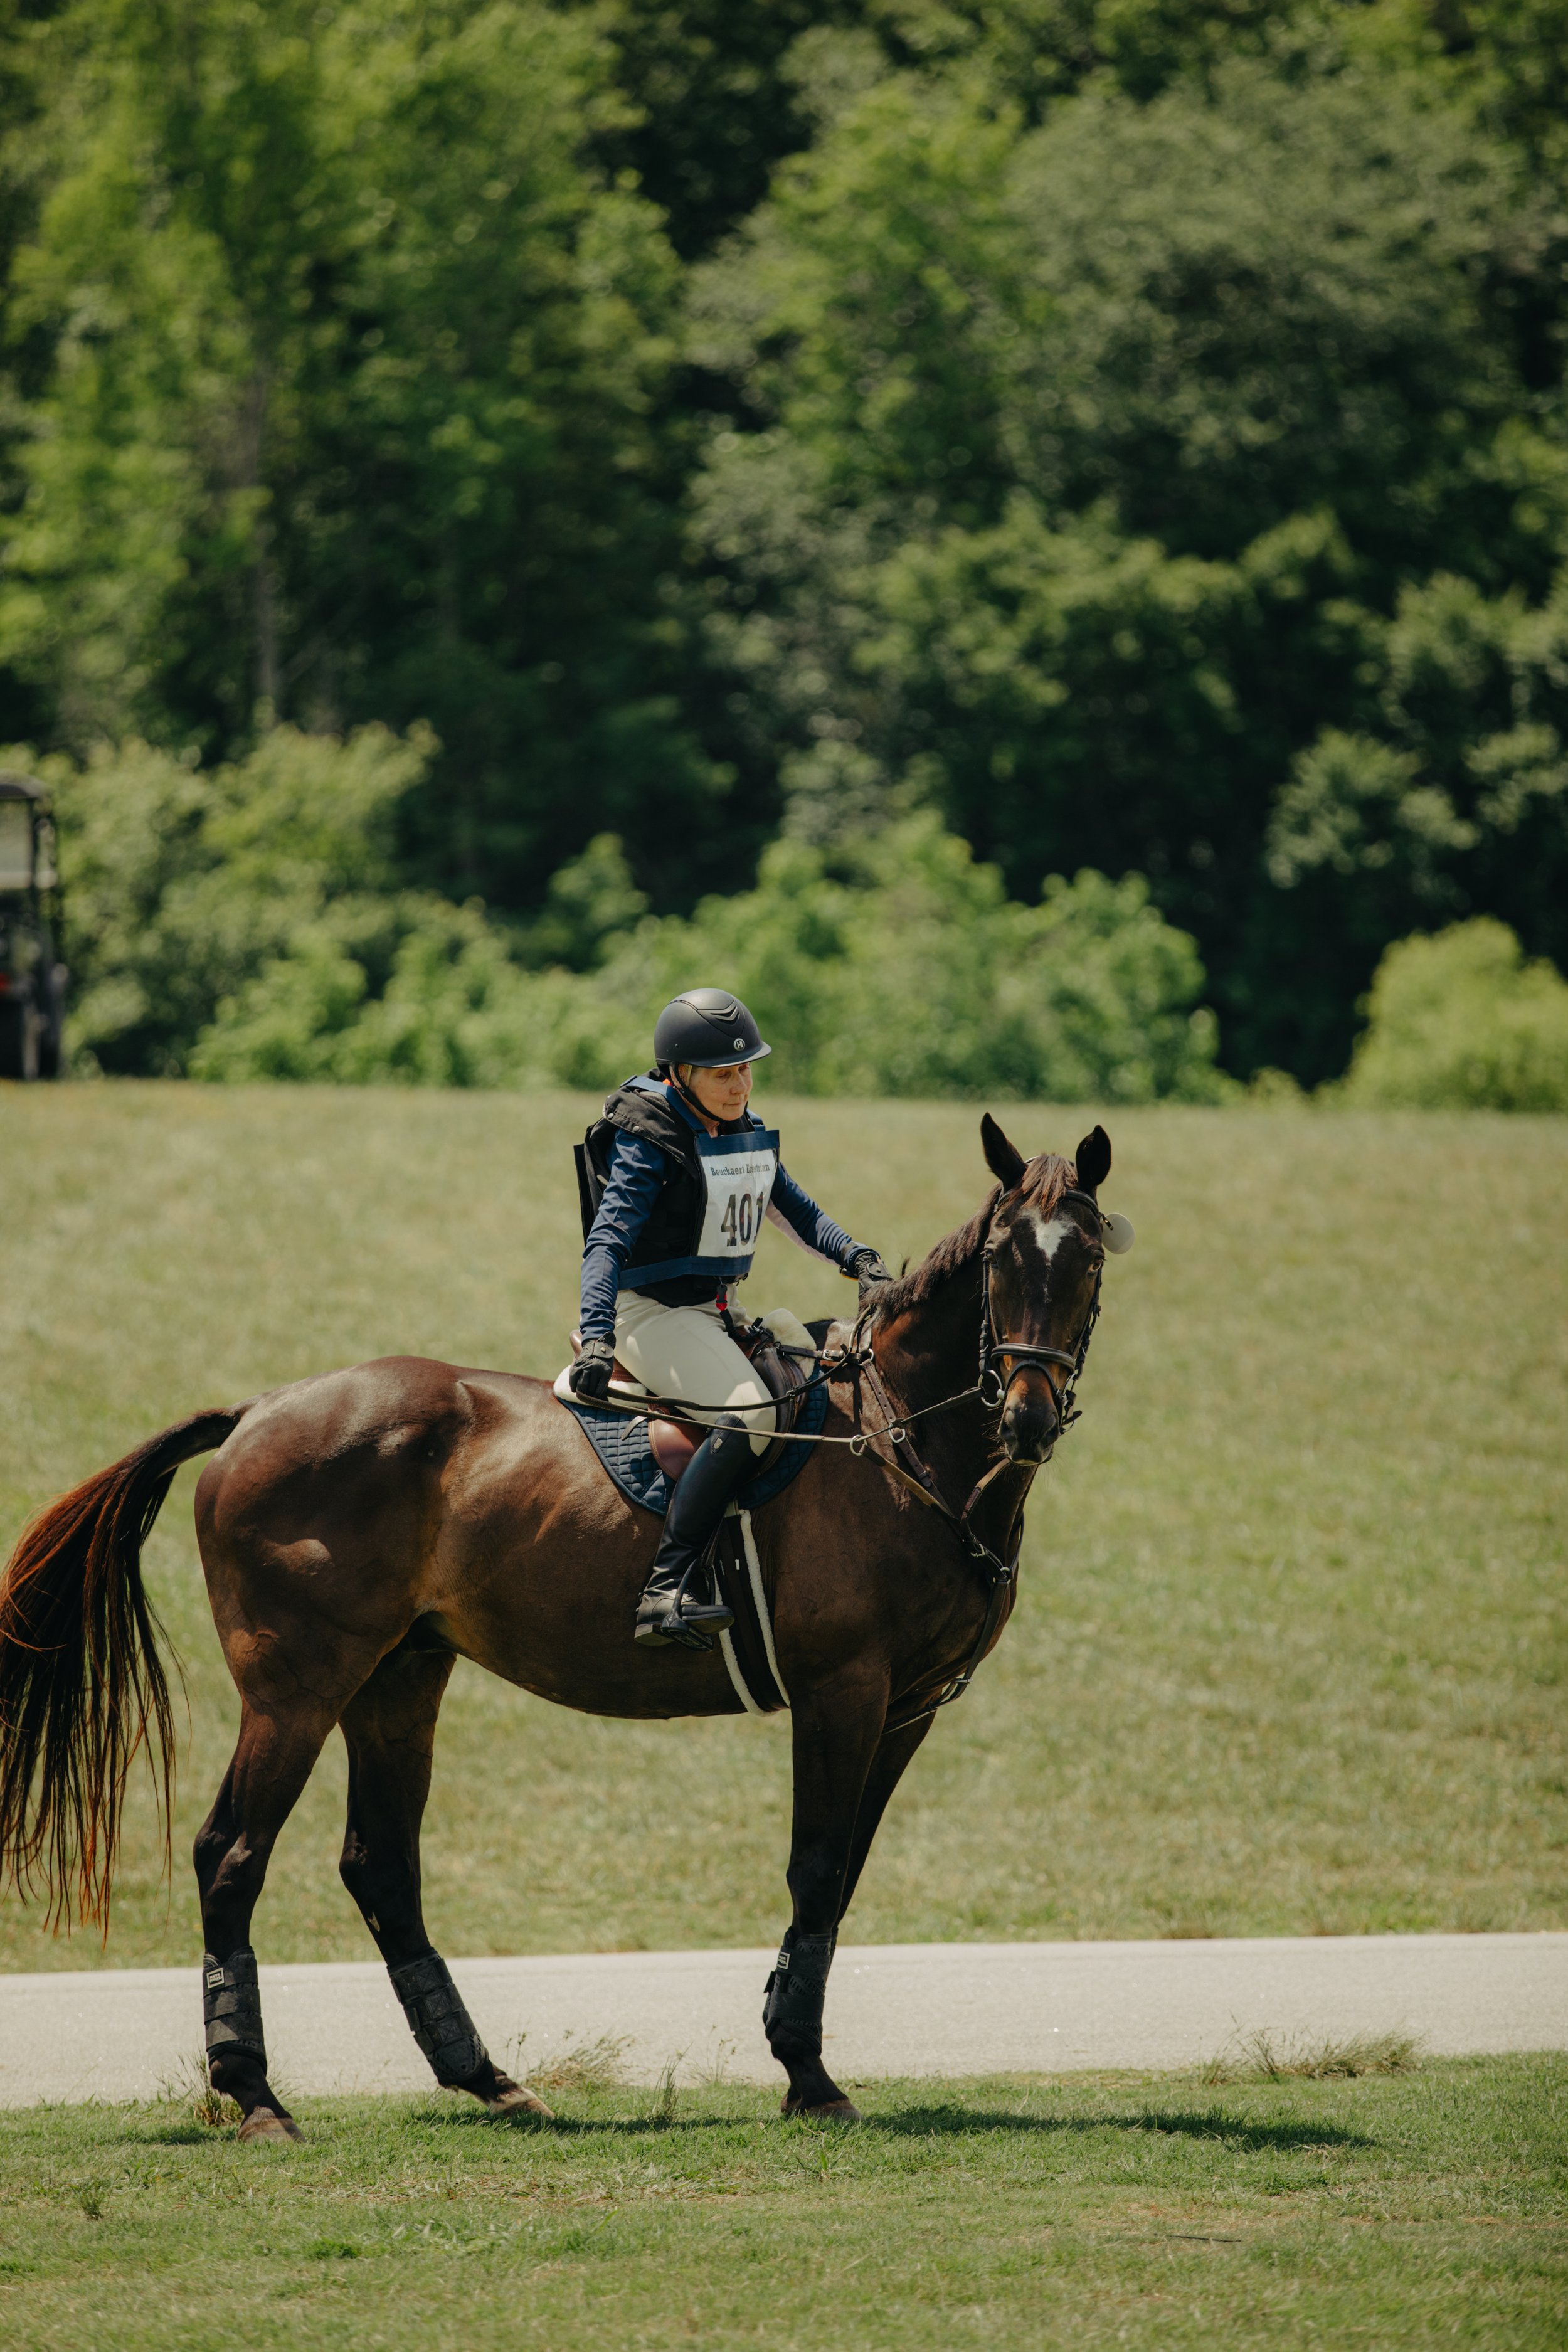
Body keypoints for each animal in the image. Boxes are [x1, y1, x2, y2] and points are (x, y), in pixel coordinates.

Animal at [0, 1115, 1116, 2139]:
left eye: (1090, 1258)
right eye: (1002, 1258)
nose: (1027, 1416)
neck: (895, 1441)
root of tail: (259, 1409)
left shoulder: (909, 1706)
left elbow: (839, 1876)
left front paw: (797, 2052)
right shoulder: (843, 1691)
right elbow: (815, 1866)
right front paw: (808, 2075)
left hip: (399, 1676)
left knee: (380, 1862)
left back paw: (485, 2077)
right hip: (298, 1687)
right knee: (231, 1853)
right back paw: (257, 2093)